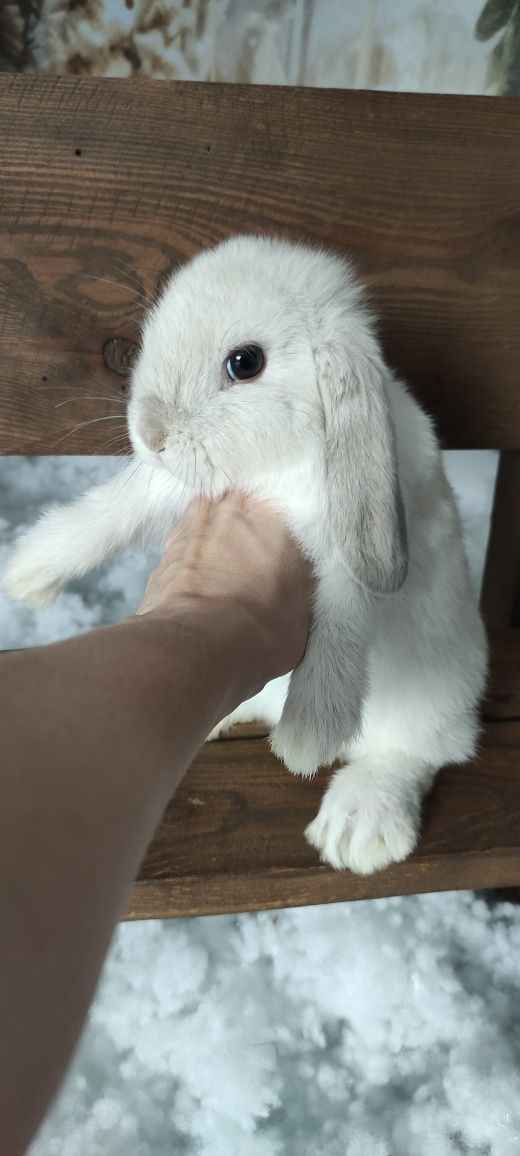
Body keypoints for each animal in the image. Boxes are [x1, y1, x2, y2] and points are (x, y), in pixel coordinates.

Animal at [1, 236, 487, 873]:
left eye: (244, 363)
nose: (151, 434)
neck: (274, 467)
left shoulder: (339, 552)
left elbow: (341, 625)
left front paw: (307, 737)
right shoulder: (168, 488)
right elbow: (110, 514)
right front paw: (29, 570)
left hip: (434, 697)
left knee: (415, 753)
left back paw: (359, 827)